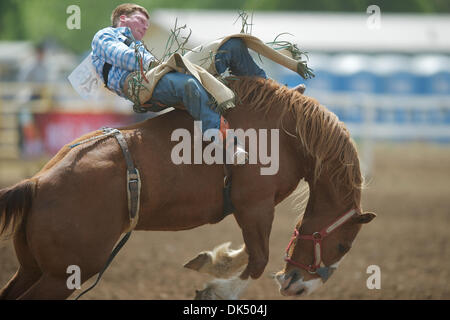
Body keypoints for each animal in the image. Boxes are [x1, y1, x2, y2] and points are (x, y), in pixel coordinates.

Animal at [0, 77, 372, 300]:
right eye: (343, 245)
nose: (299, 287)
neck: (285, 133)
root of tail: (38, 183)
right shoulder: (255, 204)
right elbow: (258, 259)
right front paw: (217, 290)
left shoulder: (252, 209)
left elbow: (249, 252)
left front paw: (213, 260)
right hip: (65, 274)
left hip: (32, 268)